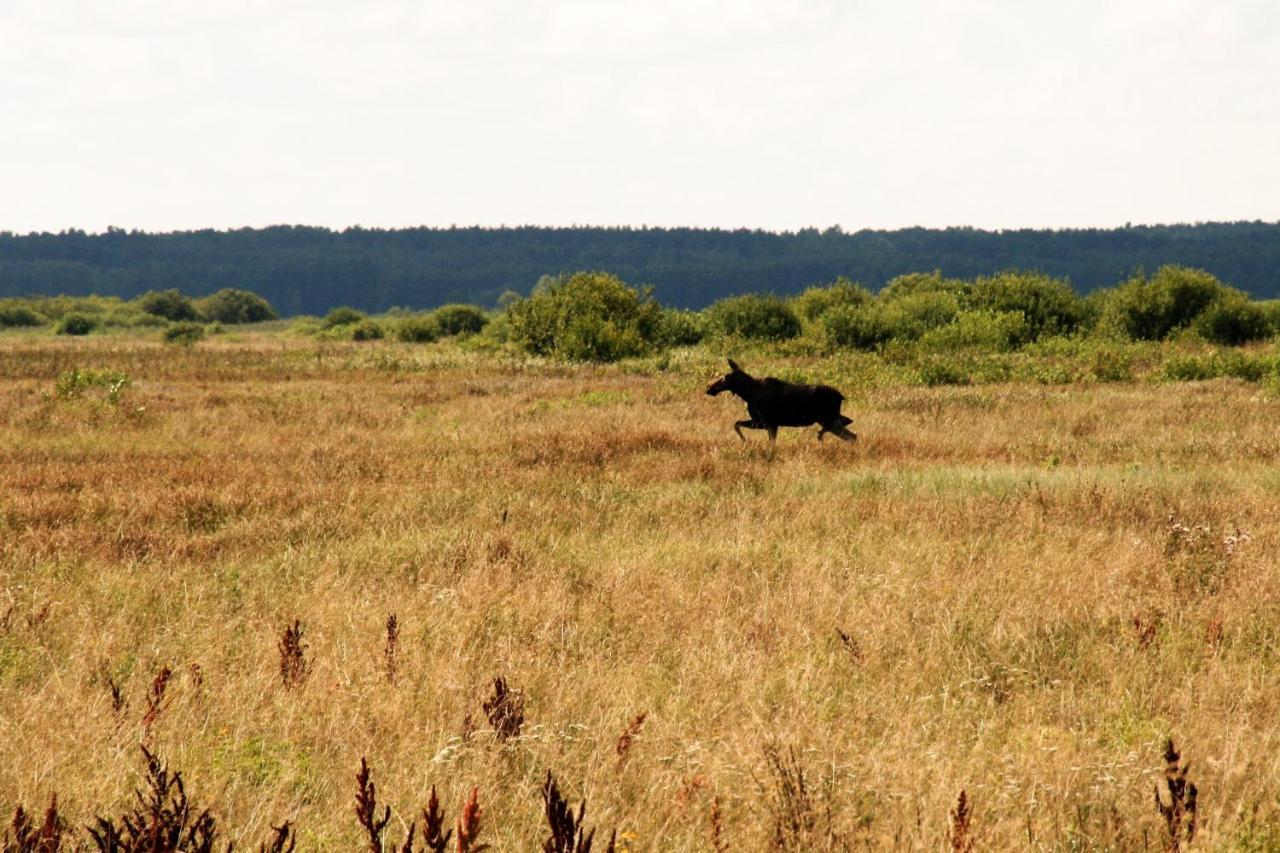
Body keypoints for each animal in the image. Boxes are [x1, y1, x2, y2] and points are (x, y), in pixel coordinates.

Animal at [706, 356, 855, 440]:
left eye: (725, 377)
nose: (709, 387)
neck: (748, 394)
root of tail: (841, 396)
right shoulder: (765, 423)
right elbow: (736, 423)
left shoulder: (768, 423)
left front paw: (744, 440)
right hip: (831, 418)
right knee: (850, 429)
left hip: (828, 419)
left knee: (851, 436)